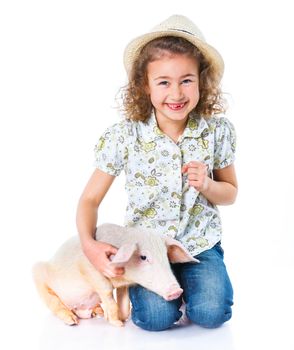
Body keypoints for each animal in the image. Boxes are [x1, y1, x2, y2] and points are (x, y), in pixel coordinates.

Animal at [32, 223, 199, 326]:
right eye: (143, 257)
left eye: (165, 255)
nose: (177, 290)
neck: (121, 277)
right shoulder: (89, 269)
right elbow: (107, 293)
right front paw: (118, 324)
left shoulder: (123, 284)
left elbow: (123, 301)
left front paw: (125, 319)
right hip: (38, 273)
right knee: (55, 303)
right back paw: (72, 321)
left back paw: (97, 313)